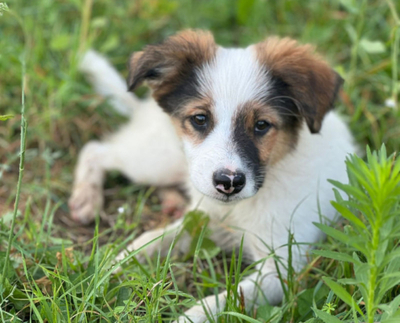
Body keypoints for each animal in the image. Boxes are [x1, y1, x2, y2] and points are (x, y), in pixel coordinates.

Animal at [69, 29, 356, 322]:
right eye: (199, 118)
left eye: (262, 125)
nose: (228, 183)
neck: (238, 209)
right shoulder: (202, 217)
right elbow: (147, 241)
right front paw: (104, 272)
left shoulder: (282, 269)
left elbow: (220, 301)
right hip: (156, 160)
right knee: (96, 150)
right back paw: (86, 199)